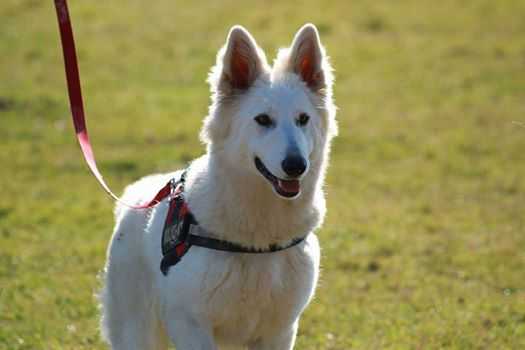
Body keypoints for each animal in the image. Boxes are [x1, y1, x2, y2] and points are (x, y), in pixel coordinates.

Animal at [100, 23, 338, 348]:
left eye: (303, 119)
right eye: (263, 120)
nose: (296, 165)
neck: (259, 233)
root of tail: (140, 193)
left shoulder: (279, 330)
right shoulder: (190, 324)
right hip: (136, 332)